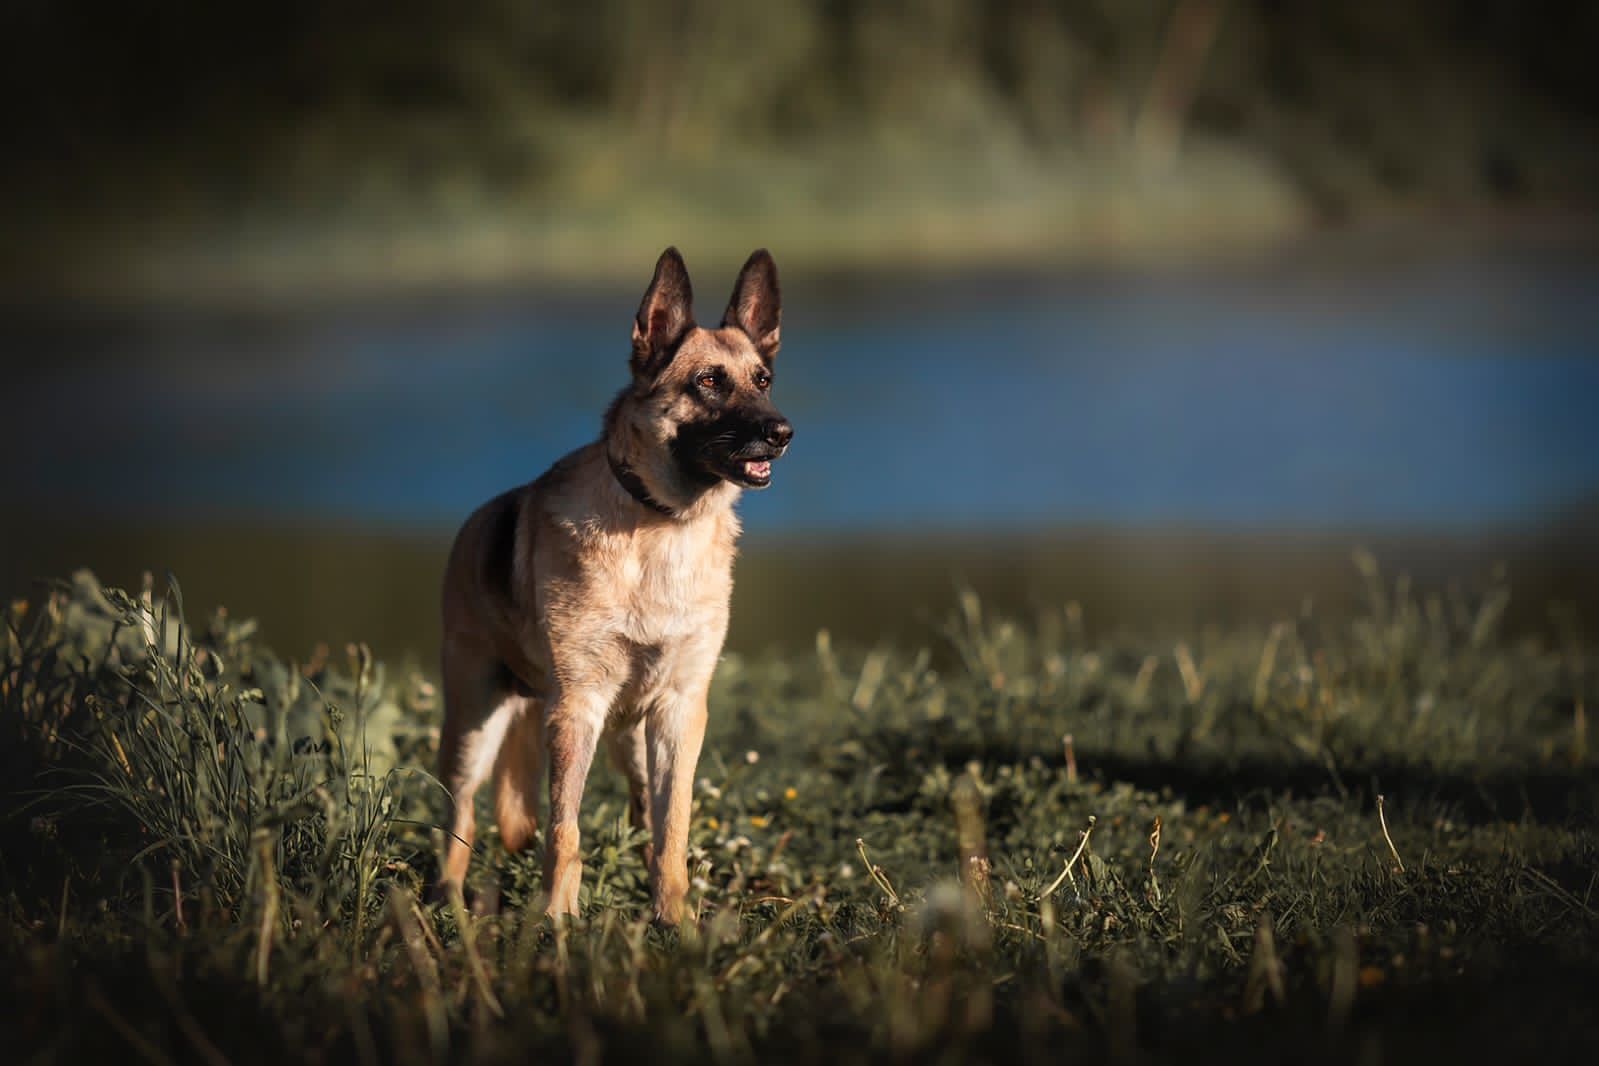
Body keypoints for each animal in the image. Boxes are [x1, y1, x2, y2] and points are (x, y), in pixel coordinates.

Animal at [438, 246, 793, 920]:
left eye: (762, 379)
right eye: (708, 381)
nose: (783, 433)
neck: (662, 523)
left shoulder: (680, 710)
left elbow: (672, 826)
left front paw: (674, 920)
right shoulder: (575, 710)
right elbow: (564, 830)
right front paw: (556, 920)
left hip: (631, 736)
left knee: (642, 814)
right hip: (475, 729)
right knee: (459, 816)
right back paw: (445, 899)